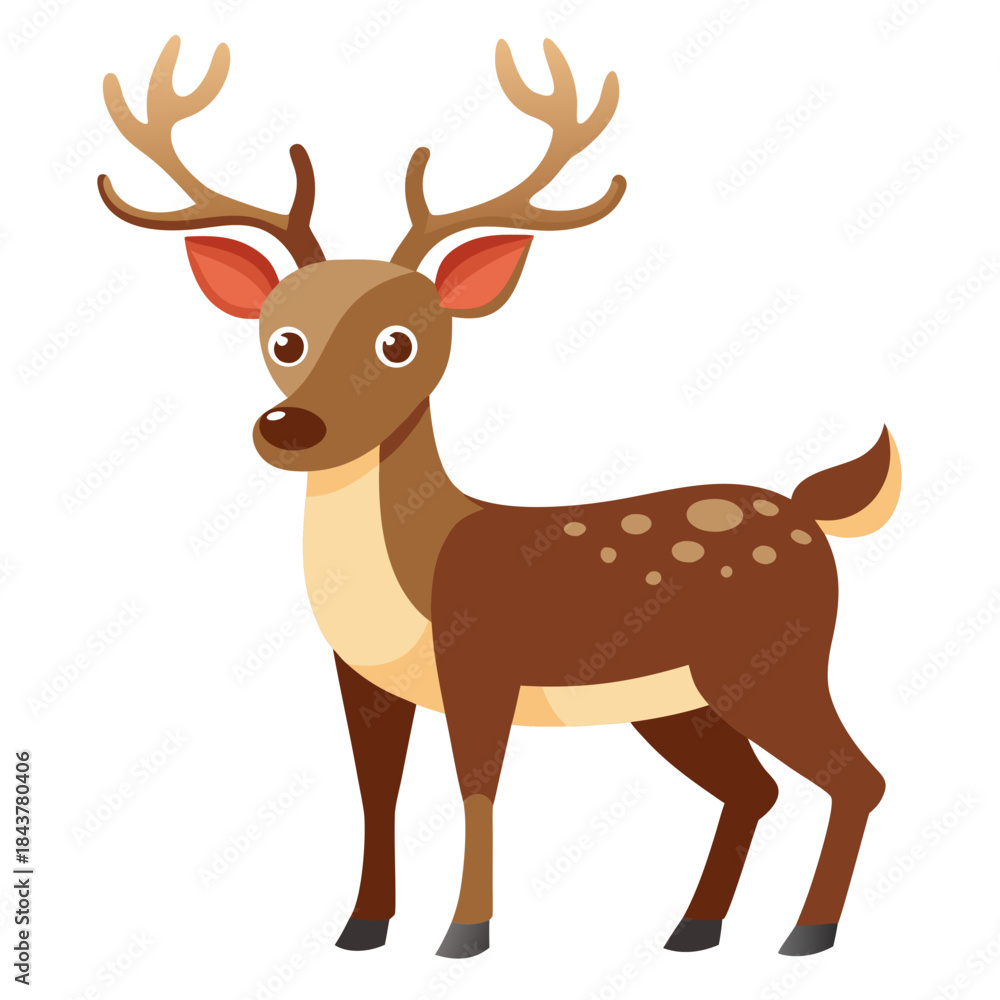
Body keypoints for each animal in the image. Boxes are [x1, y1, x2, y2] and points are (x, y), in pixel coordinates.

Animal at [97, 36, 900, 960]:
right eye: (283, 338)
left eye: (400, 341)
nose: (290, 427)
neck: (407, 581)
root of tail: (810, 513)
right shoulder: (361, 676)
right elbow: (378, 792)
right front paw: (361, 928)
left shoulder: (481, 657)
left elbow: (475, 786)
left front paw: (465, 933)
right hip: (681, 700)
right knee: (756, 789)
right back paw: (694, 930)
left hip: (774, 660)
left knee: (859, 778)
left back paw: (809, 933)